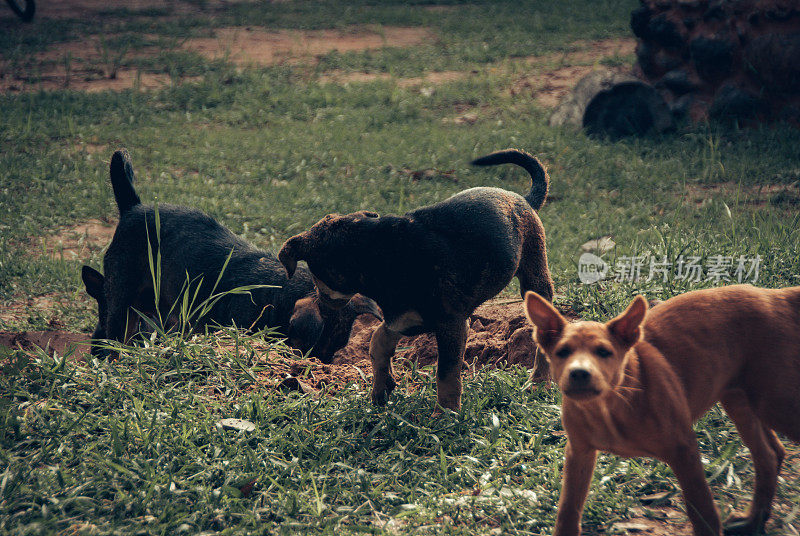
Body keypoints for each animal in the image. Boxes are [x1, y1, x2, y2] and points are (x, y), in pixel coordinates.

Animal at [89, 149, 382, 362]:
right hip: (121, 297)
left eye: (336, 348)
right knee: (114, 335)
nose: (323, 366)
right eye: (313, 349)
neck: (276, 299)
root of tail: (132, 208)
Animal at [278, 149, 552, 412]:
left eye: (317, 273)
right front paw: (381, 389)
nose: (320, 300)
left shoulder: (452, 323)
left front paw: (445, 414)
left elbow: (447, 374)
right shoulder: (403, 317)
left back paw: (538, 381)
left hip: (535, 273)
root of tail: (523, 199)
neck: (379, 255)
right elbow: (378, 341)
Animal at [524, 286, 800, 536]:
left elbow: (702, 511)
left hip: (775, 403)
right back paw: (753, 521)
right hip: (742, 399)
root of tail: (778, 295)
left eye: (604, 352)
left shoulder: (684, 450)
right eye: (562, 352)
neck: (608, 406)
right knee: (770, 454)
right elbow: (568, 509)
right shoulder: (579, 452)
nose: (579, 373)